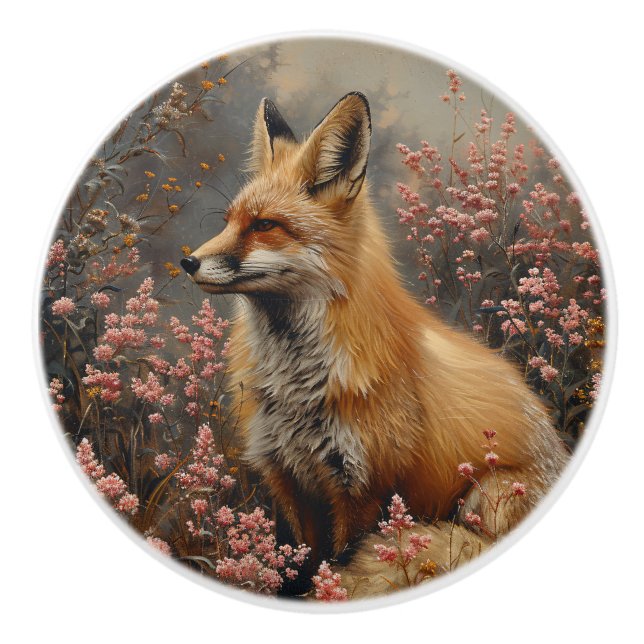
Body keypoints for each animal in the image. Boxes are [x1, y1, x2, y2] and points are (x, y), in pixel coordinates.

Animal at [180, 92, 568, 588]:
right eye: (229, 222)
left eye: (264, 225)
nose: (188, 261)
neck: (298, 384)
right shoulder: (286, 477)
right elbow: (299, 566)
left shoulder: (363, 488)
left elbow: (341, 564)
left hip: (488, 494)